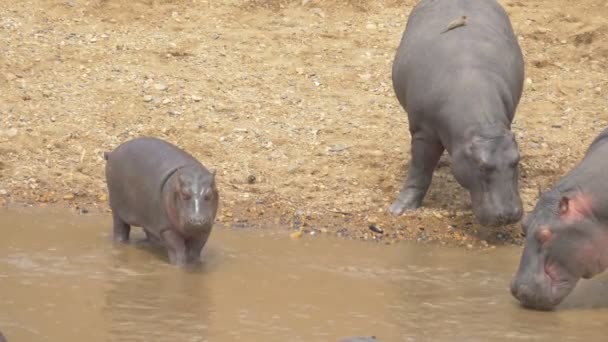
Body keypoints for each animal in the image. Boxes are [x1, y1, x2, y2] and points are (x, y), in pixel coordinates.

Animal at [104, 138, 218, 266]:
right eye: (184, 194)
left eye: (209, 195)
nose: (197, 221)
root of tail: (112, 153)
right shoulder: (166, 228)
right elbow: (177, 250)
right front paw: (180, 267)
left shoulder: (205, 230)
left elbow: (195, 251)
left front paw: (195, 265)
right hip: (116, 209)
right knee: (120, 229)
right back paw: (121, 244)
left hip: (147, 216)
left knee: (150, 233)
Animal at [390, 0, 524, 227]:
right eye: (481, 166)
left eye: (516, 160)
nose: (509, 214)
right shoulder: (423, 132)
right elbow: (419, 170)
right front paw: (399, 210)